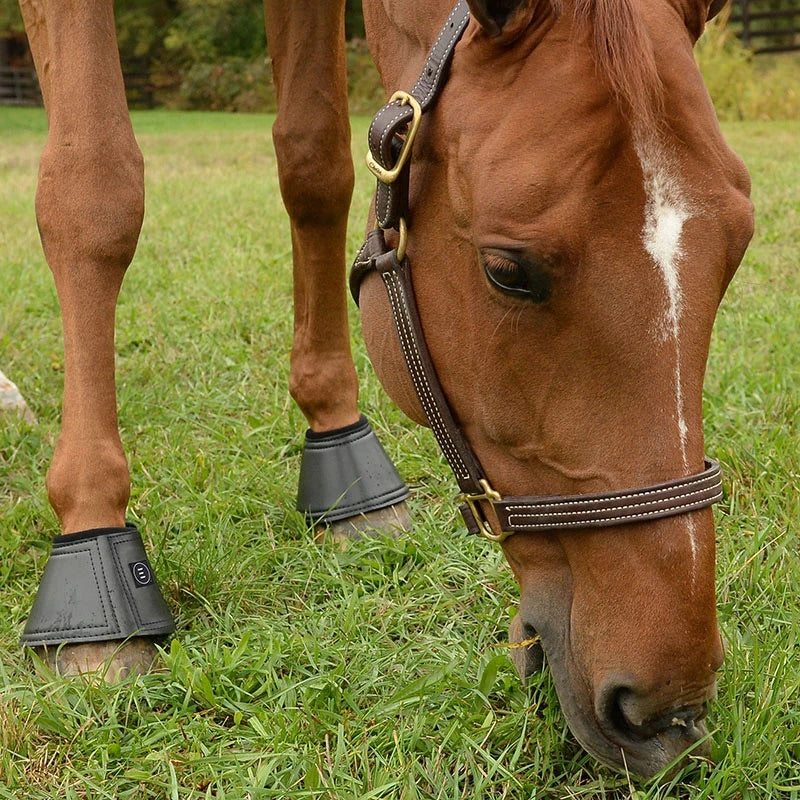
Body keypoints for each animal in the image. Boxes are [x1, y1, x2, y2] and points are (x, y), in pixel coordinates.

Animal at [12, 0, 752, 780]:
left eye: (738, 245)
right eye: (508, 270)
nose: (668, 716)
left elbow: (314, 166)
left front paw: (340, 443)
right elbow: (93, 191)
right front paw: (92, 537)